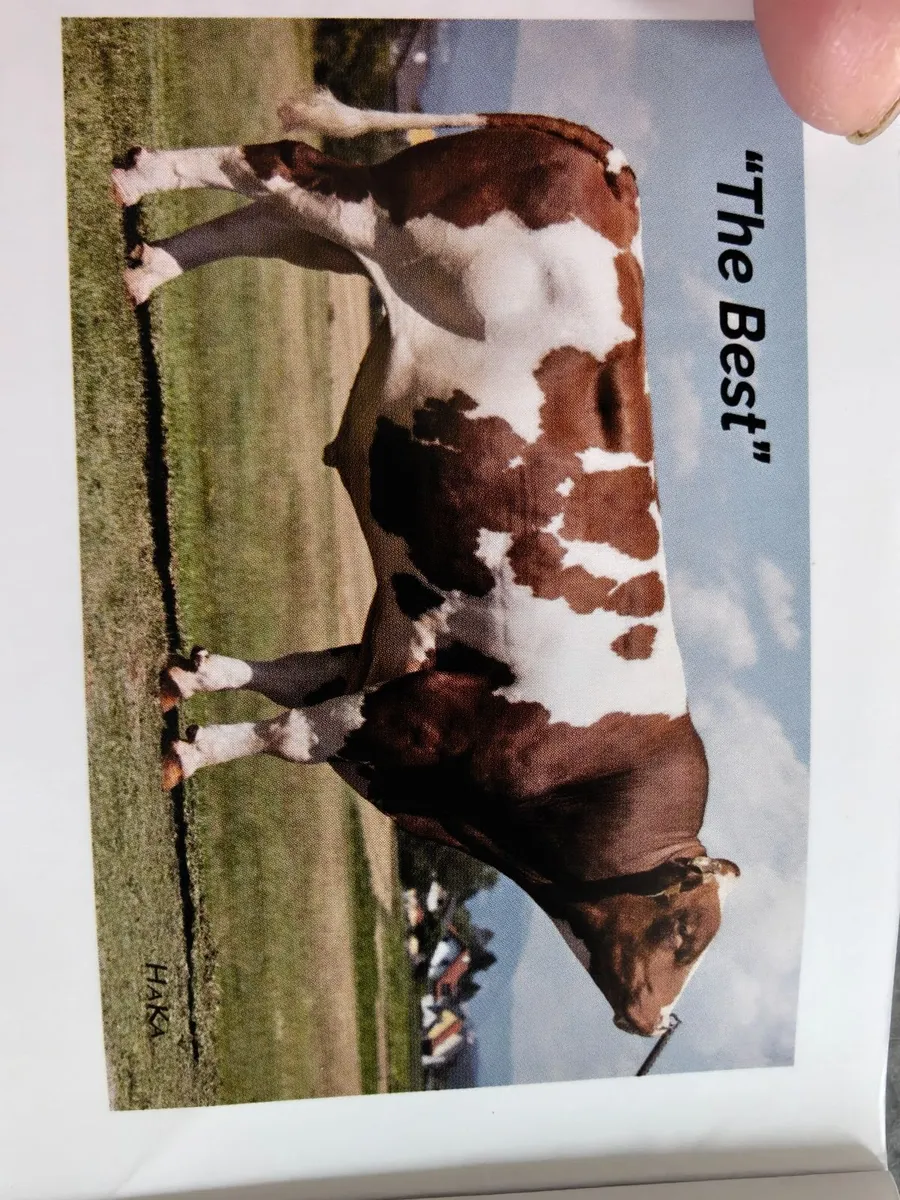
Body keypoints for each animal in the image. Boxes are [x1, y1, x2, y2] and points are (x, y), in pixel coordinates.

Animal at [112, 86, 740, 1039]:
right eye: (682, 934)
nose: (653, 1022)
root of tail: (615, 171)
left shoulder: (395, 658)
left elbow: (288, 674)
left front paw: (190, 678)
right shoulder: (408, 718)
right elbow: (287, 731)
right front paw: (186, 755)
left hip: (354, 238)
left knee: (263, 221)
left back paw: (145, 271)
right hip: (383, 211)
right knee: (281, 166)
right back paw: (137, 179)